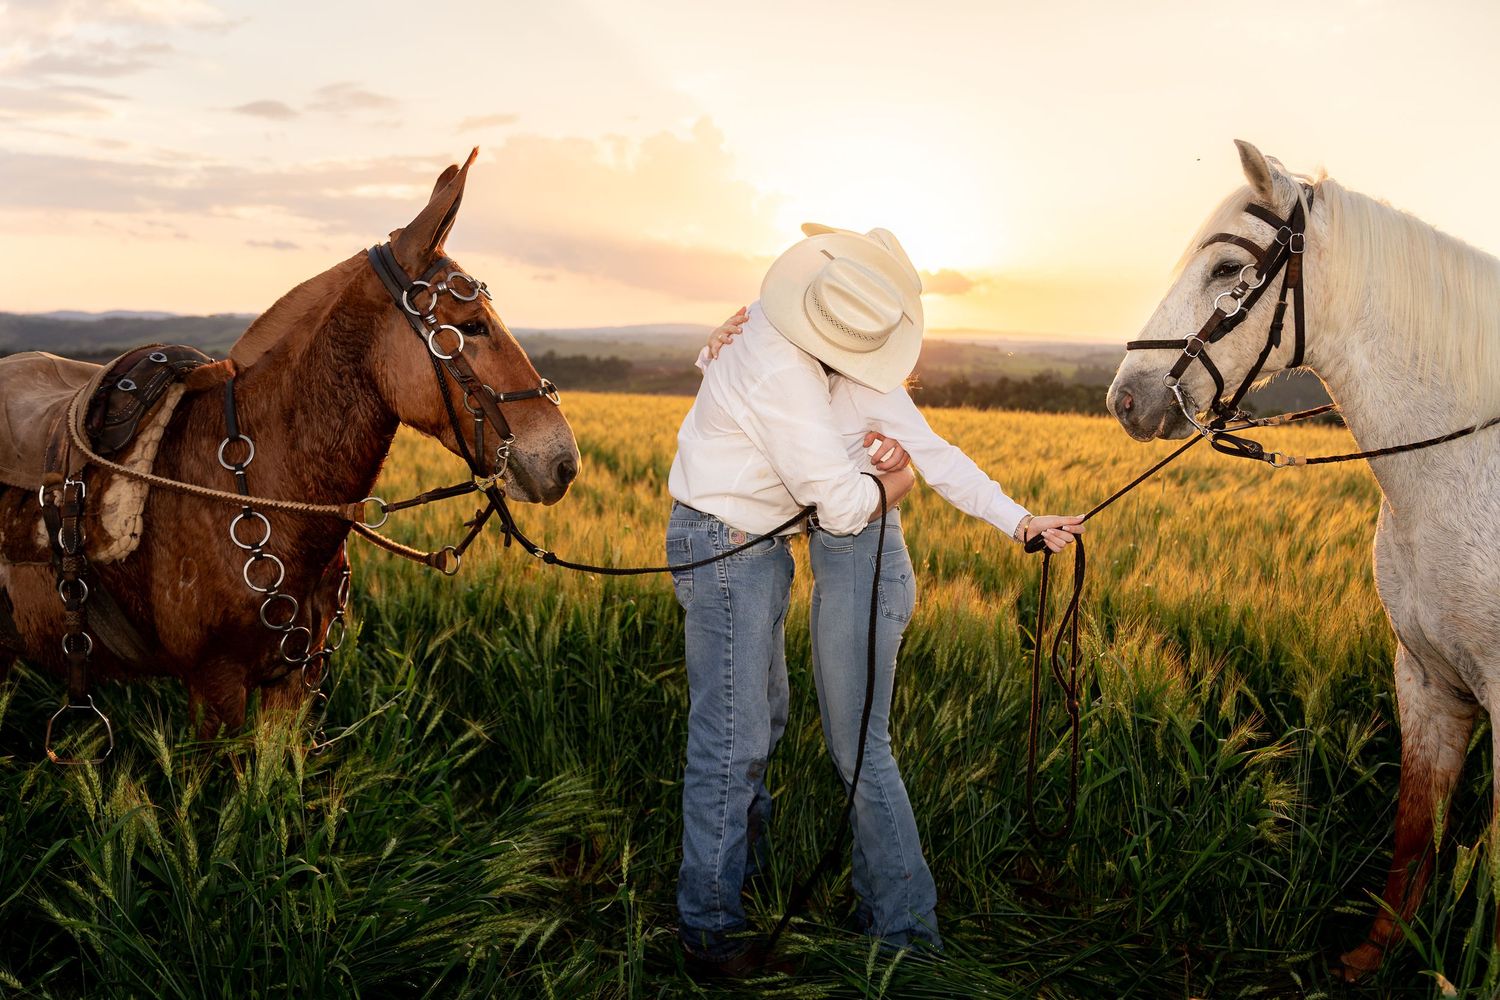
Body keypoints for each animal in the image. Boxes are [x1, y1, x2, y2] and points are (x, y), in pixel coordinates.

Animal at [1106, 139, 1500, 979]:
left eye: (1228, 268)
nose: (1125, 398)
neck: (1455, 471)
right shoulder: (1425, 678)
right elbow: (1414, 829)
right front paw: (1373, 956)